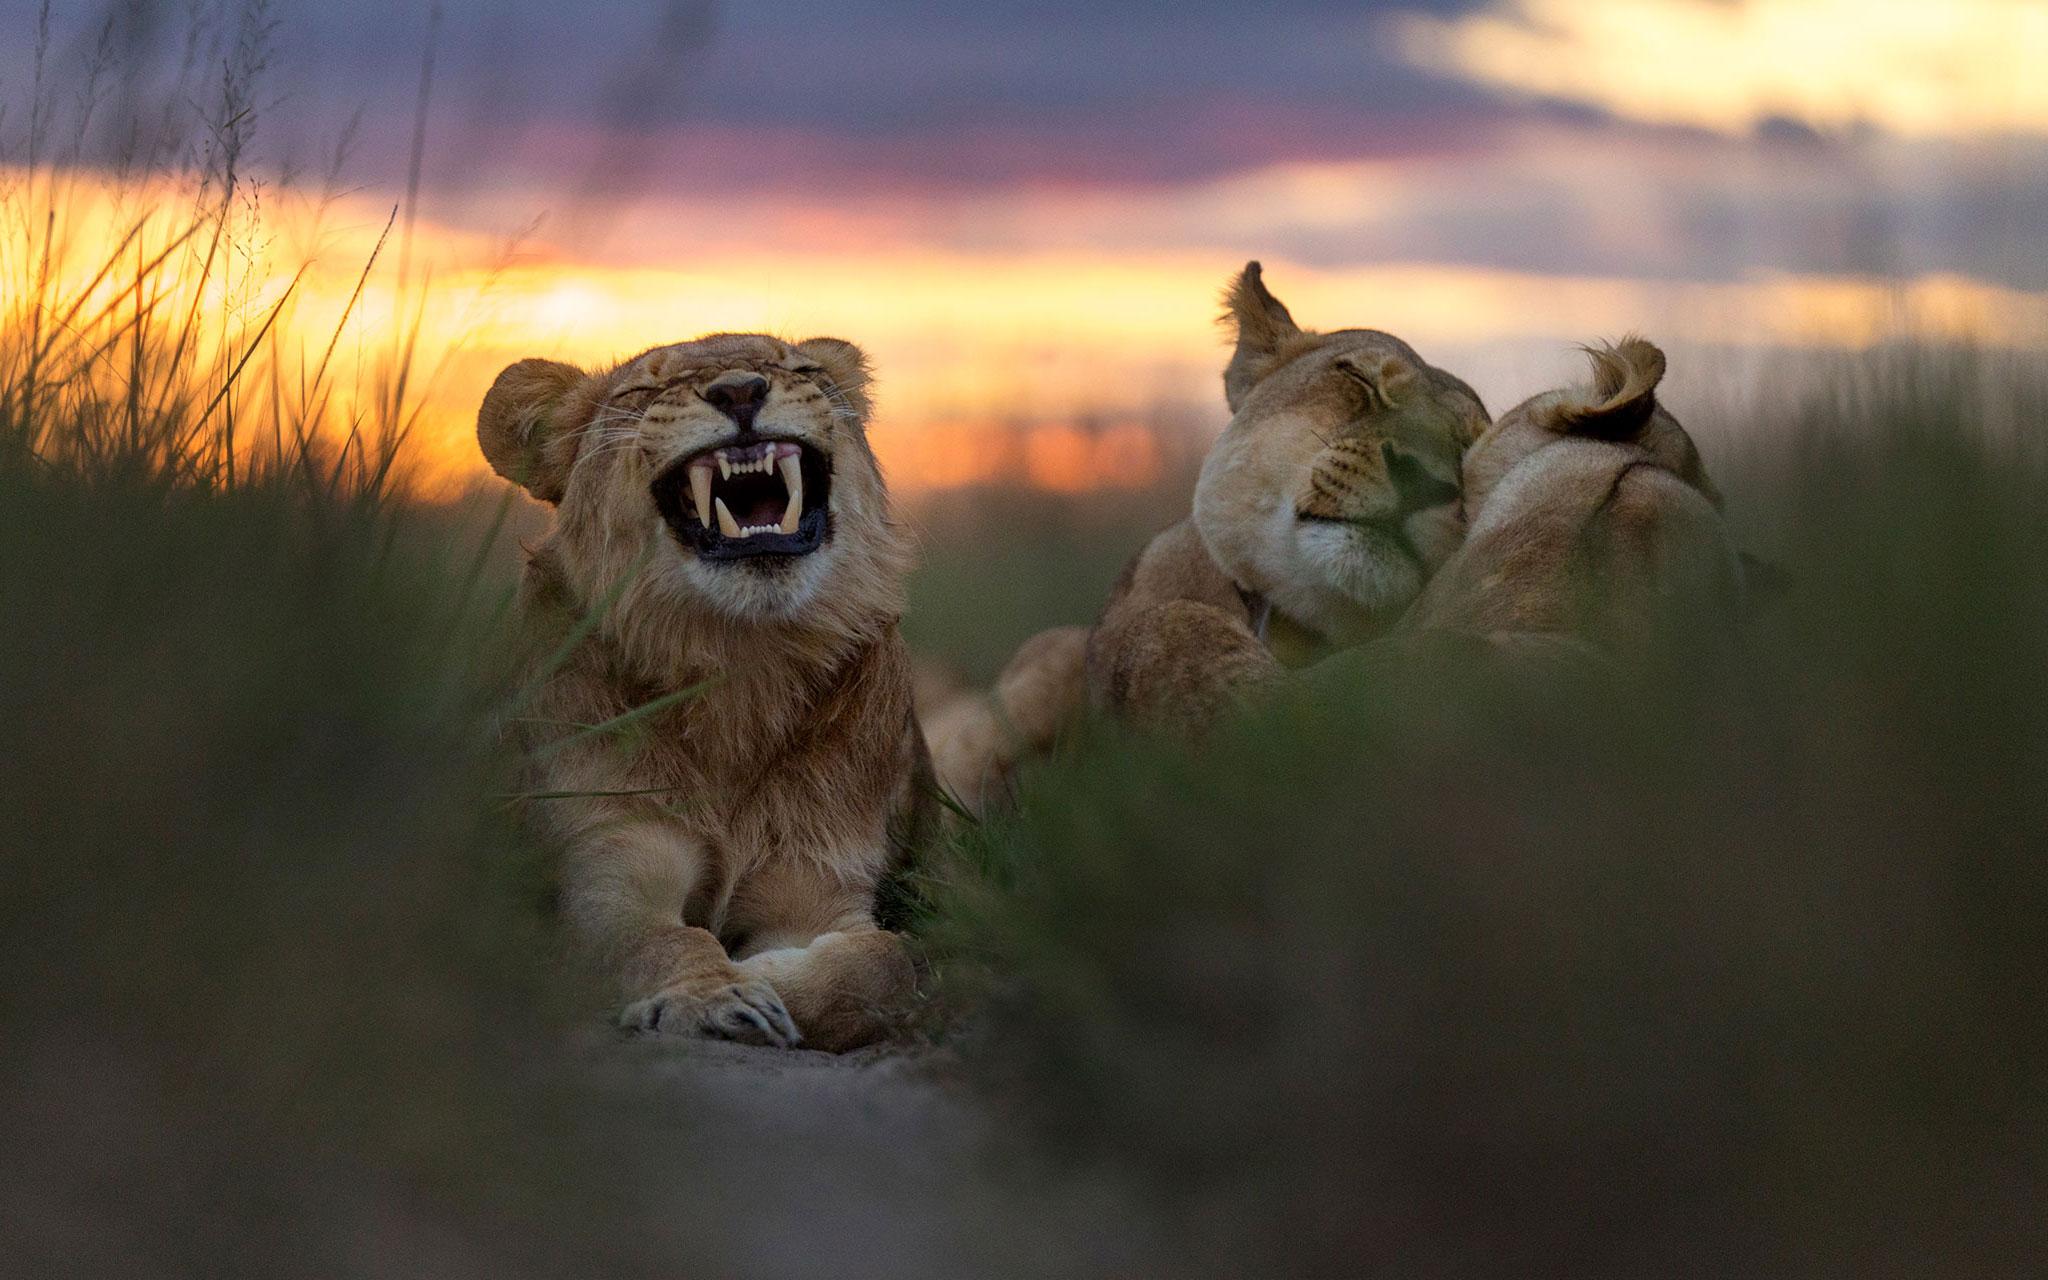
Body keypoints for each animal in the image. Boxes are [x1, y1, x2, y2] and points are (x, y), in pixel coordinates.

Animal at [477, 332, 928, 1052]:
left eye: (802, 370)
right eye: (642, 392)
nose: (740, 391)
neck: (743, 668)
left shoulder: (824, 885)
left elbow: (889, 966)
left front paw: (769, 976)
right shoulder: (606, 868)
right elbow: (655, 942)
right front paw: (720, 995)